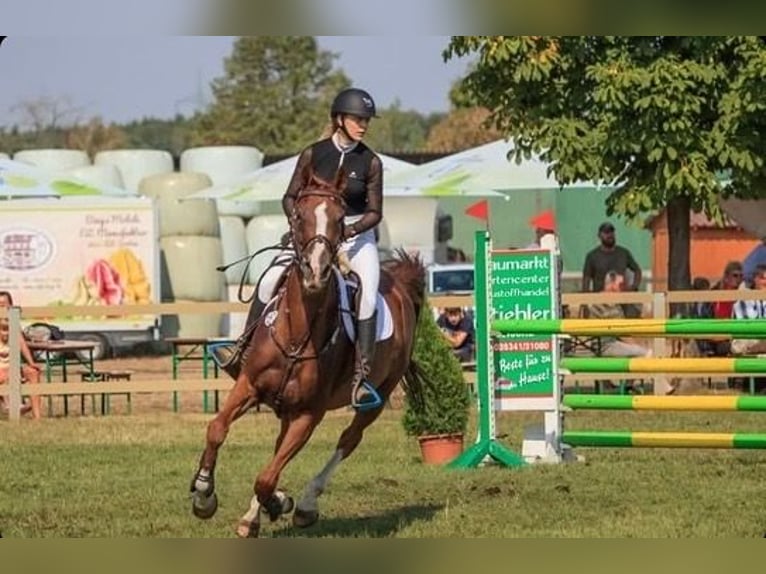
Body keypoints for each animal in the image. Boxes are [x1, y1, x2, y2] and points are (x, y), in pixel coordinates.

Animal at [191, 166, 428, 540]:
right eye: (299, 215)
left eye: (341, 217)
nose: (315, 271)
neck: (296, 335)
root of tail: (401, 285)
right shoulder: (249, 385)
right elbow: (217, 429)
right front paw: (203, 494)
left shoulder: (308, 414)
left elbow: (266, 478)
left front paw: (280, 502)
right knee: (279, 448)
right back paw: (254, 515)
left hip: (375, 398)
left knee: (348, 440)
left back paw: (303, 504)